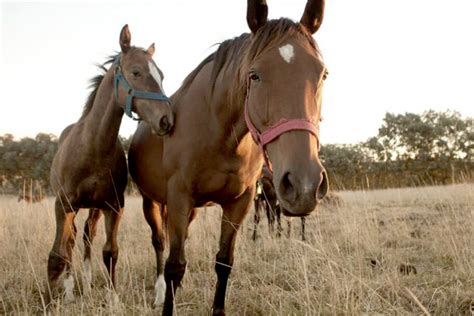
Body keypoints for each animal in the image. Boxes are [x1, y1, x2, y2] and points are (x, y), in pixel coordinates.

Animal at [47, 24, 174, 302]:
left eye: (161, 75)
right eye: (136, 72)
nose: (167, 120)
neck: (93, 147)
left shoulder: (114, 206)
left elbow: (110, 251)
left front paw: (113, 298)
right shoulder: (63, 205)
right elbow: (59, 253)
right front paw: (59, 297)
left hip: (94, 208)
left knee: (87, 235)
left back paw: (86, 280)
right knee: (71, 241)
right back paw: (71, 287)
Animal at [130, 1, 330, 314]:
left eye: (322, 74)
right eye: (254, 75)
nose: (304, 185)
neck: (217, 133)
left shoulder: (240, 202)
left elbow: (224, 261)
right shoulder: (178, 197)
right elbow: (175, 266)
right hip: (152, 202)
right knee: (160, 244)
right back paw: (160, 290)